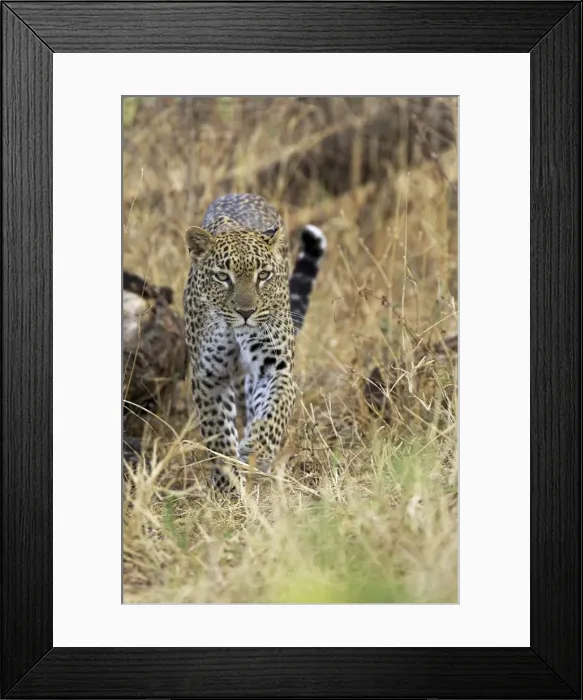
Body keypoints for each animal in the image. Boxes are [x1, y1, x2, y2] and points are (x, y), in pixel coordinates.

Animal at [183, 193, 325, 493]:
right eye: (222, 277)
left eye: (263, 275)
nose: (246, 312)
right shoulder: (208, 377)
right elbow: (218, 433)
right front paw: (228, 485)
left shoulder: (276, 368)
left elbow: (274, 409)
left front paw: (257, 450)